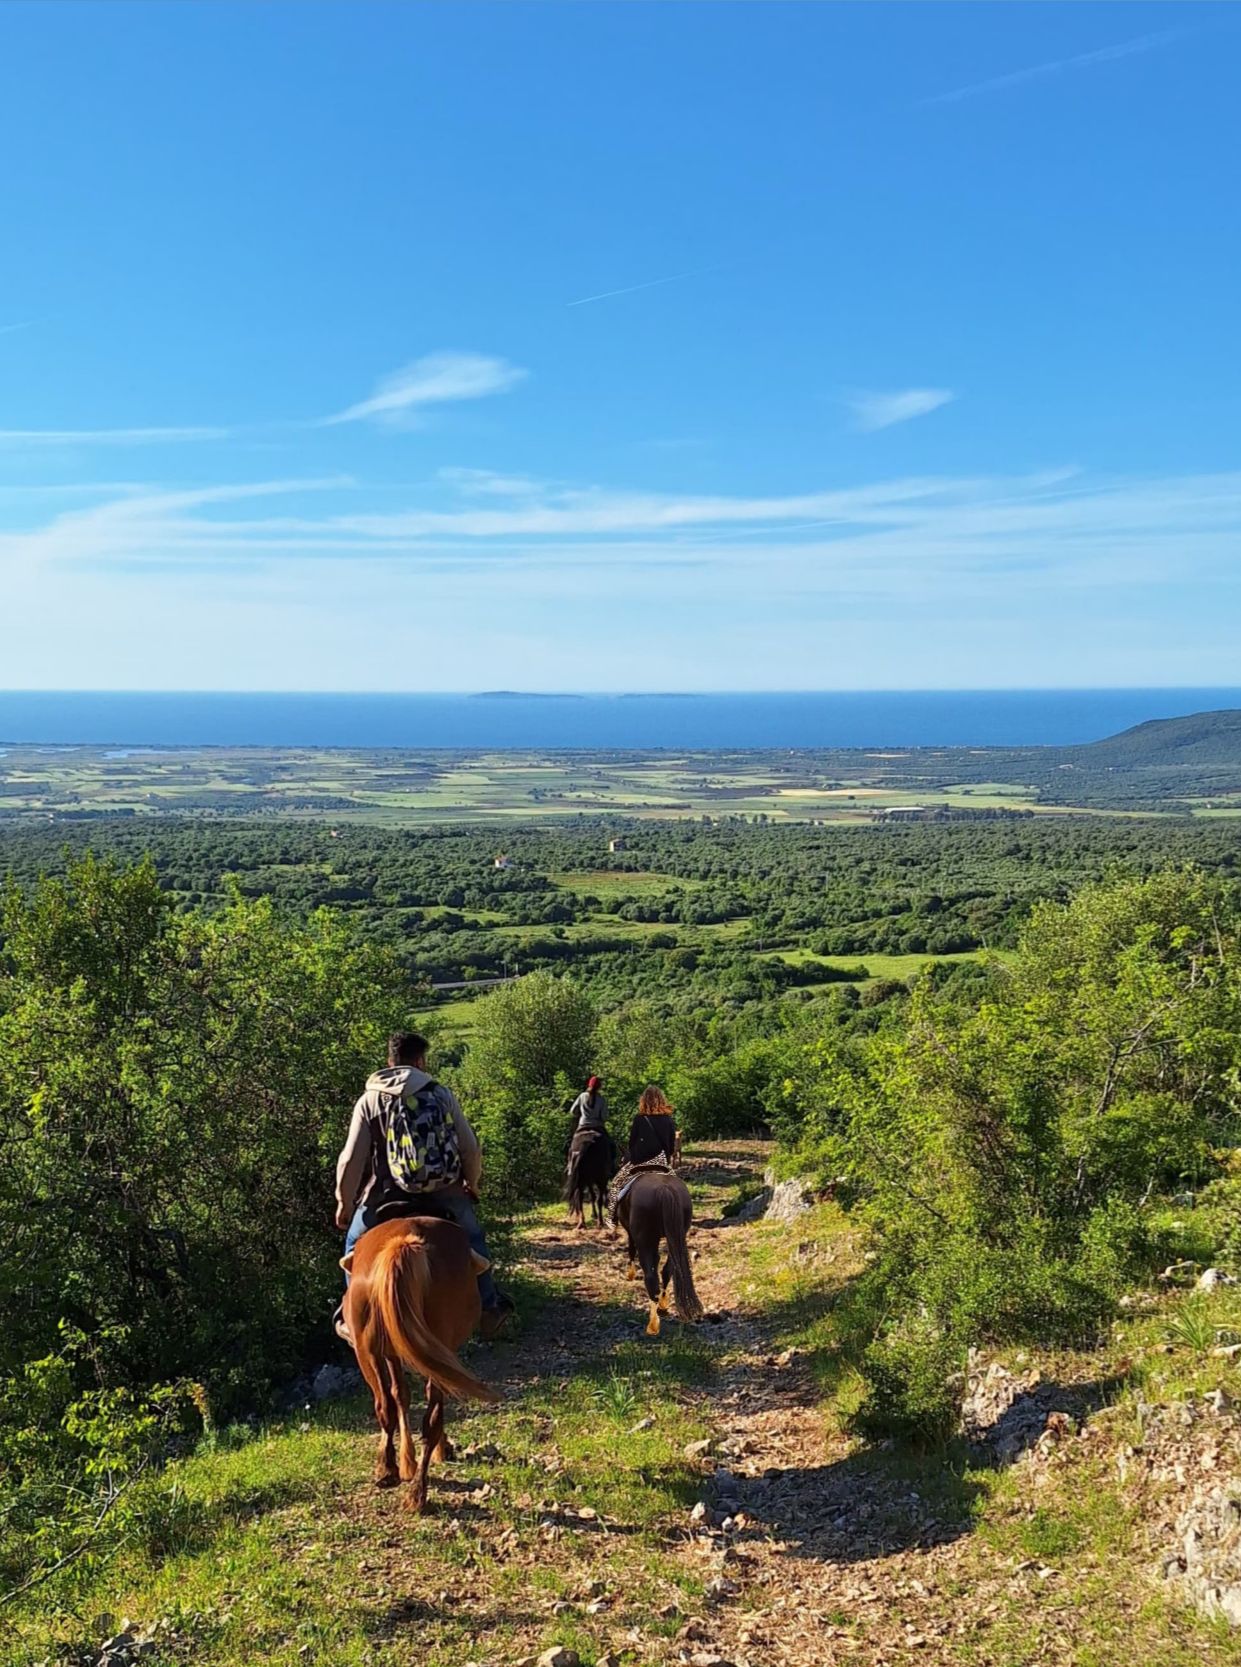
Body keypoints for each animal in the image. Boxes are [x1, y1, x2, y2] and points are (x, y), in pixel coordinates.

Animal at [341, 1213, 500, 1513]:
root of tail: (404, 1243)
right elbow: (408, 1397)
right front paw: (423, 1456)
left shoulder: (393, 1353)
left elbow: (399, 1396)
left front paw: (406, 1462)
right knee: (429, 1415)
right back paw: (416, 1489)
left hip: (367, 1352)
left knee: (386, 1406)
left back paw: (389, 1471)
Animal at [617, 1166, 703, 1333]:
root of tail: (665, 1189)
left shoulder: (631, 1232)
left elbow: (631, 1249)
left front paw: (630, 1273)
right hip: (675, 1236)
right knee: (668, 1270)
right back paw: (663, 1305)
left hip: (645, 1237)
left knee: (651, 1277)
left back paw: (653, 1323)